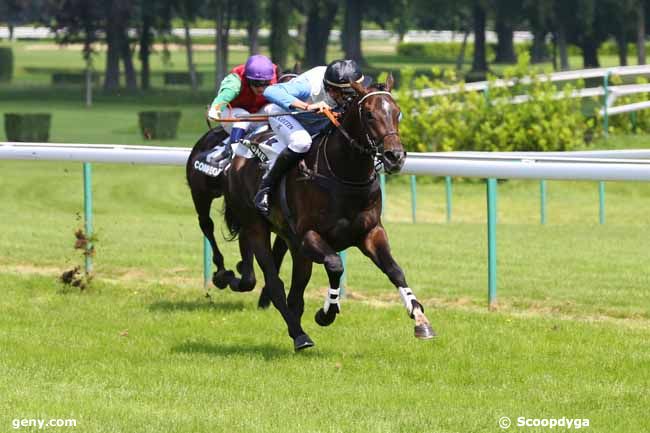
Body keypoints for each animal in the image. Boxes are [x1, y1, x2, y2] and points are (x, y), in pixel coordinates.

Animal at [221, 75, 436, 352]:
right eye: (369, 114)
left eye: (397, 112)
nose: (394, 156)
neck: (344, 174)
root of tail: (237, 157)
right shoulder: (310, 236)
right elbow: (335, 265)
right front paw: (326, 313)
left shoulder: (370, 232)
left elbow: (395, 270)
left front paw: (420, 318)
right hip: (256, 228)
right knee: (275, 284)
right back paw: (299, 335)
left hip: (294, 246)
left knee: (295, 293)